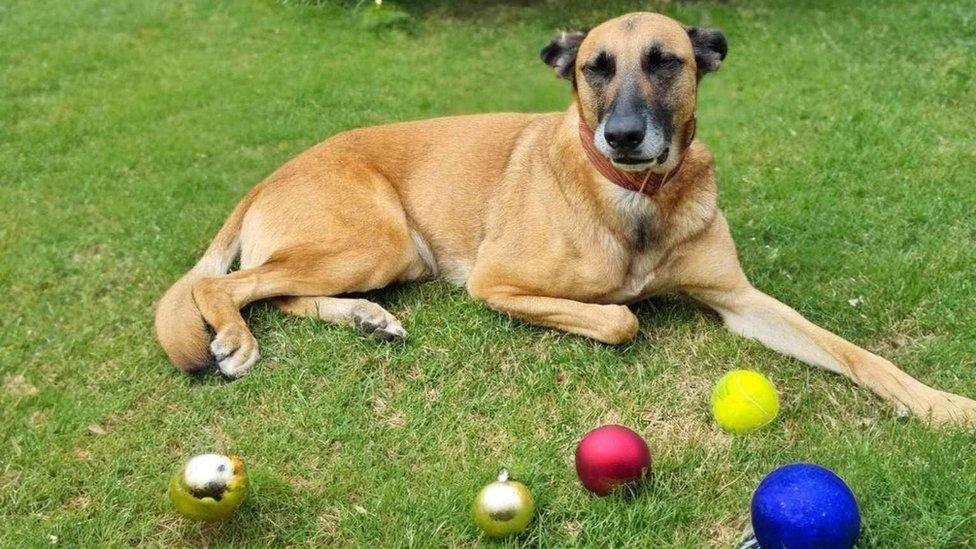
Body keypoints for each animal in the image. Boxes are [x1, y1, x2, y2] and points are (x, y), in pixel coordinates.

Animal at [156, 12, 976, 424]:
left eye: (666, 61)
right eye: (594, 69)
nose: (624, 136)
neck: (639, 197)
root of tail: (268, 176)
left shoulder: (741, 302)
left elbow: (856, 354)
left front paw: (940, 405)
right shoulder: (496, 282)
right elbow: (622, 317)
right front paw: (621, 305)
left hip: (382, 255)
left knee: (278, 290)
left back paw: (366, 317)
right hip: (377, 239)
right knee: (223, 287)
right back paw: (236, 339)